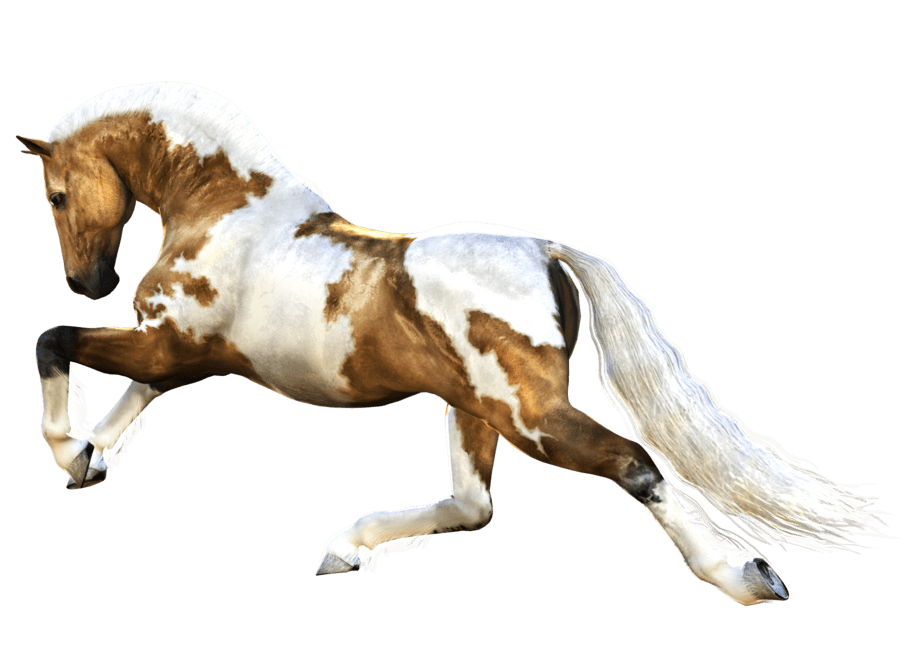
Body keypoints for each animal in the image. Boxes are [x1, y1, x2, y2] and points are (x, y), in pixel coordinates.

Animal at [19, 81, 894, 605]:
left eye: (56, 194)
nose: (89, 280)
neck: (226, 209)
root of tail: (548, 249)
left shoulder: (176, 346)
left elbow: (55, 340)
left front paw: (68, 447)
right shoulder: (178, 350)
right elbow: (133, 391)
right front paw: (93, 456)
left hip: (527, 414)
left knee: (632, 466)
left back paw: (743, 575)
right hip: (471, 406)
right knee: (475, 506)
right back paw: (346, 548)